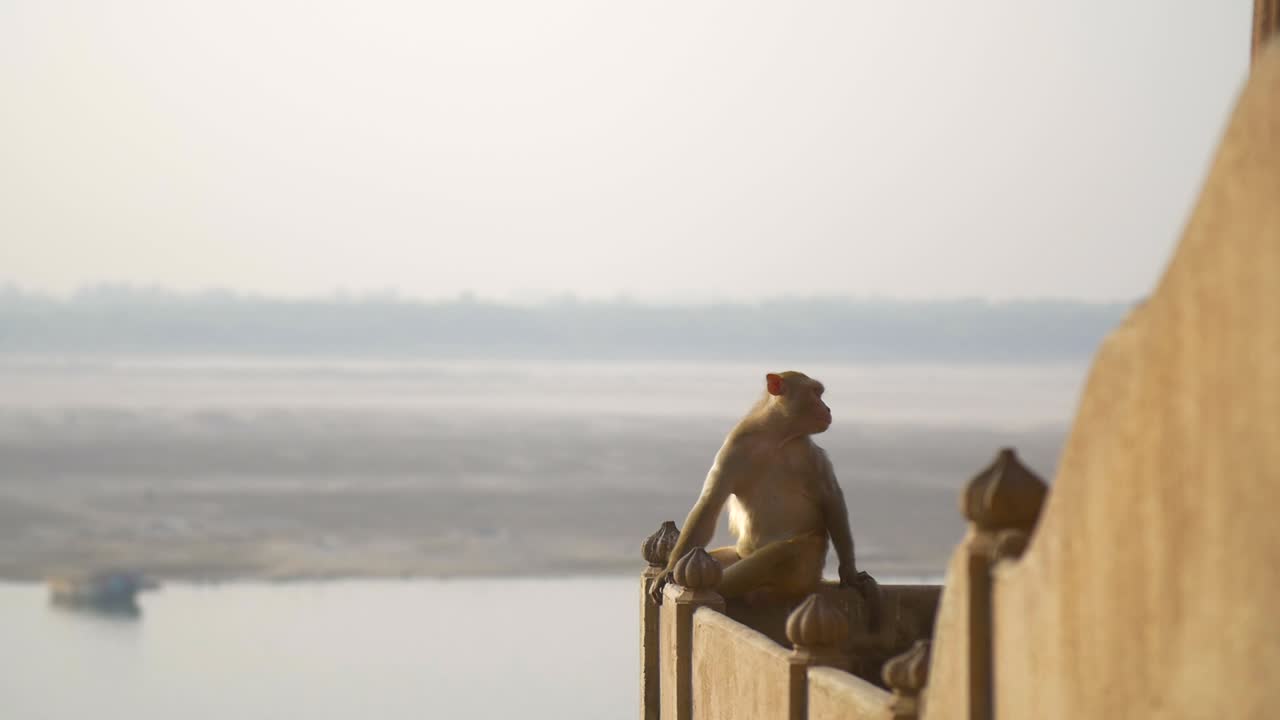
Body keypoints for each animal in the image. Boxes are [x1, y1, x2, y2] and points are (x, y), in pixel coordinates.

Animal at [650, 371, 872, 604]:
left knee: (779, 554)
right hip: (739, 552)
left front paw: (849, 573)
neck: (775, 436)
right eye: (815, 393)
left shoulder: (809, 454)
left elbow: (831, 499)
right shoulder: (734, 448)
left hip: (805, 569)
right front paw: (667, 571)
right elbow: (710, 503)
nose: (827, 408)